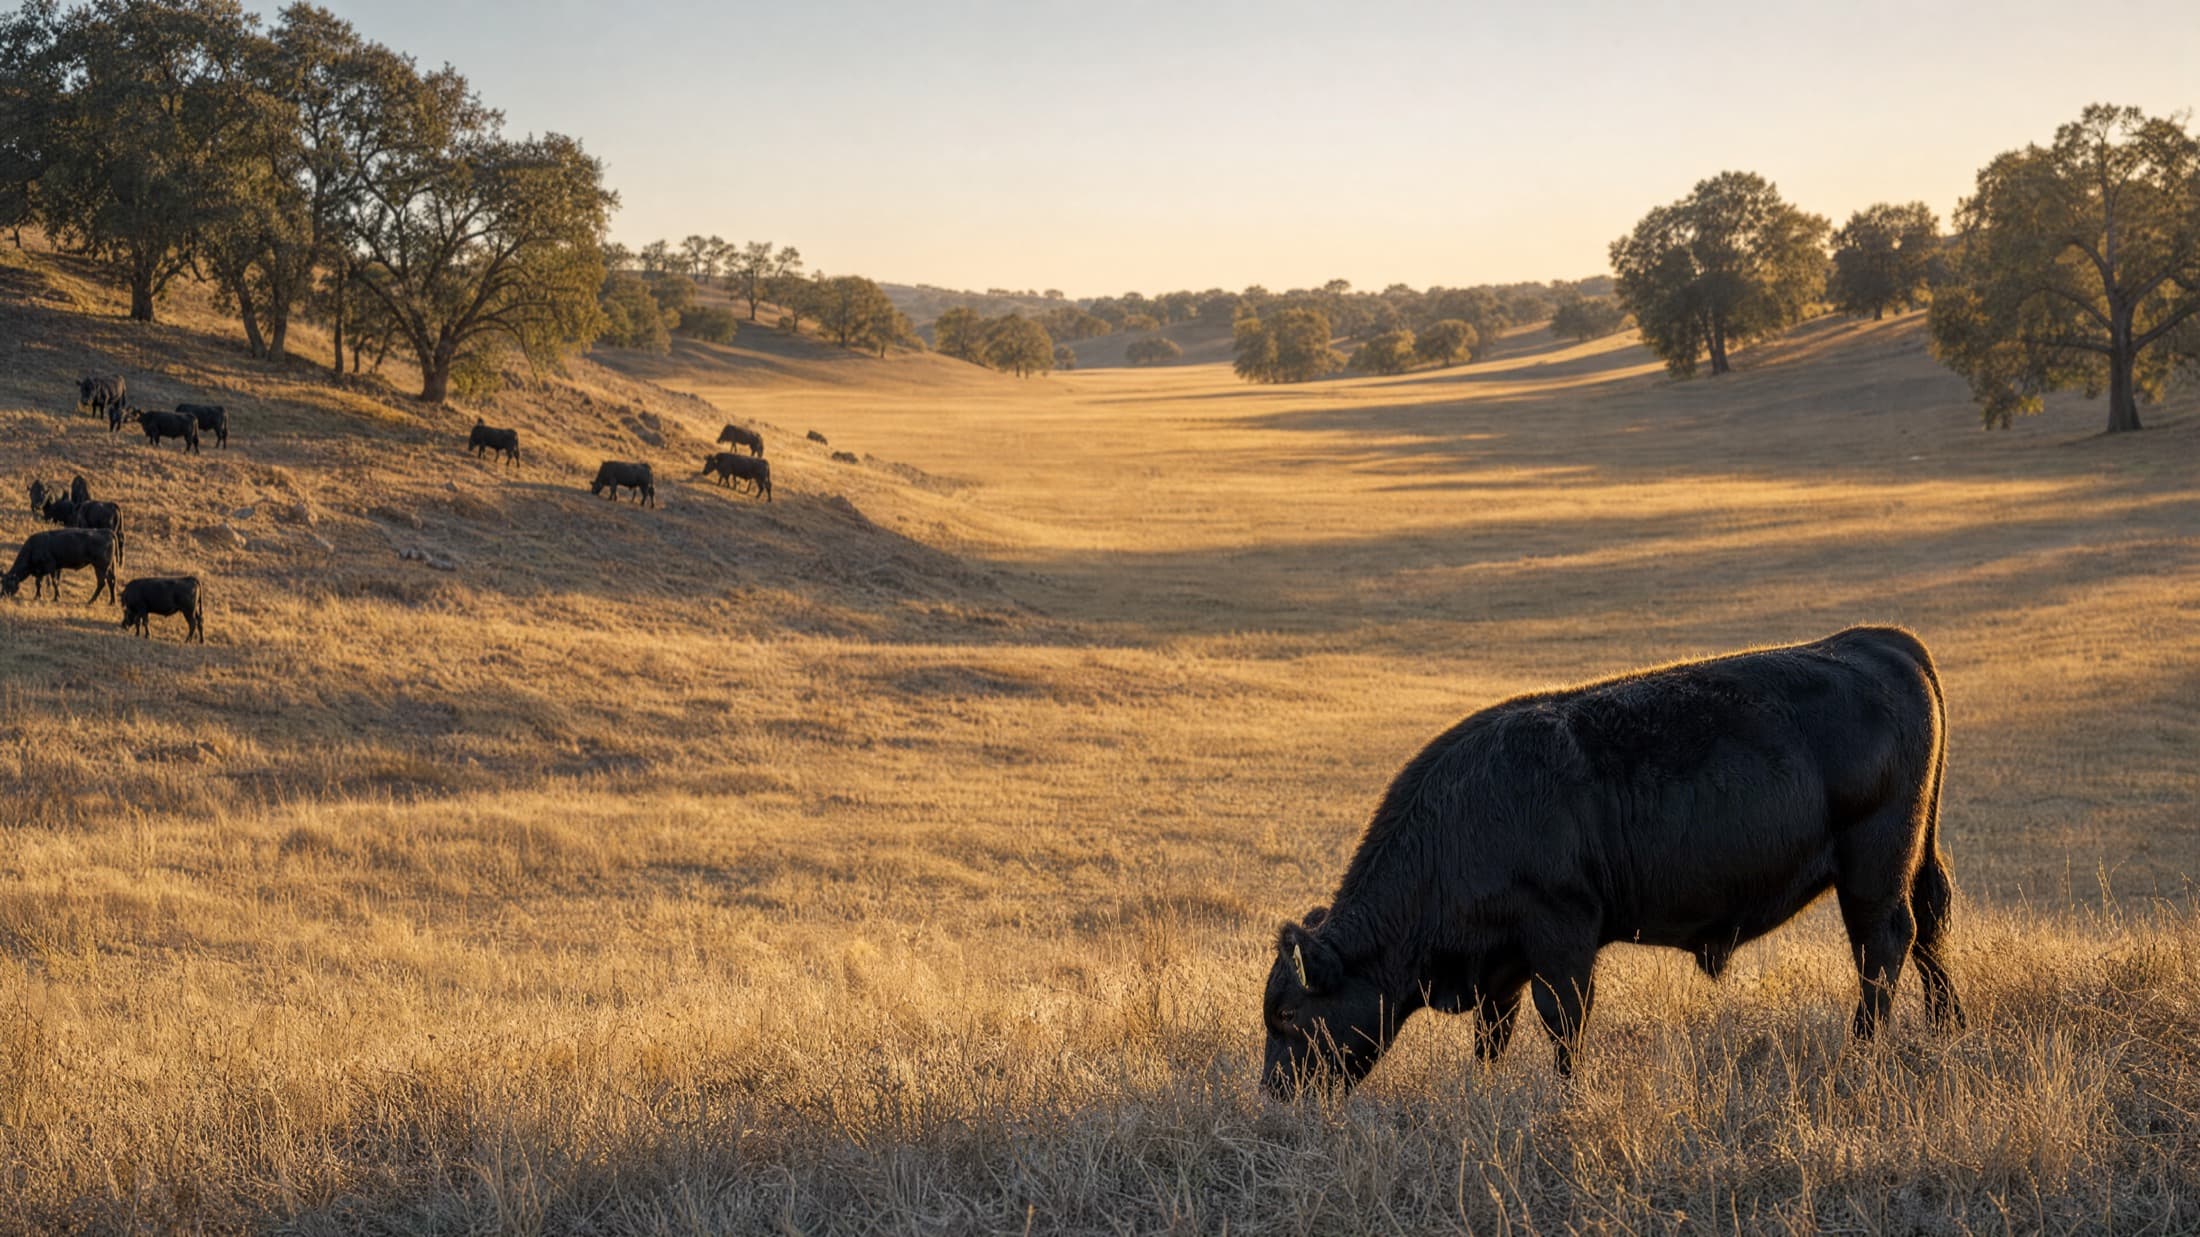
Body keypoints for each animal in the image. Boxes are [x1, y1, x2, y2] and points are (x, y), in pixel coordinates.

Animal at [1261, 627, 1961, 1097]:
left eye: (1289, 1017)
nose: (1274, 1095)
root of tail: (1881, 642)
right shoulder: (1500, 964)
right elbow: (1493, 1032)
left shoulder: (1561, 936)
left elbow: (1562, 1021)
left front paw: (1568, 1096)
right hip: (1910, 861)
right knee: (1928, 930)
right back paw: (1945, 1030)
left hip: (1872, 869)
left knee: (1883, 947)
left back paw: (1859, 1054)